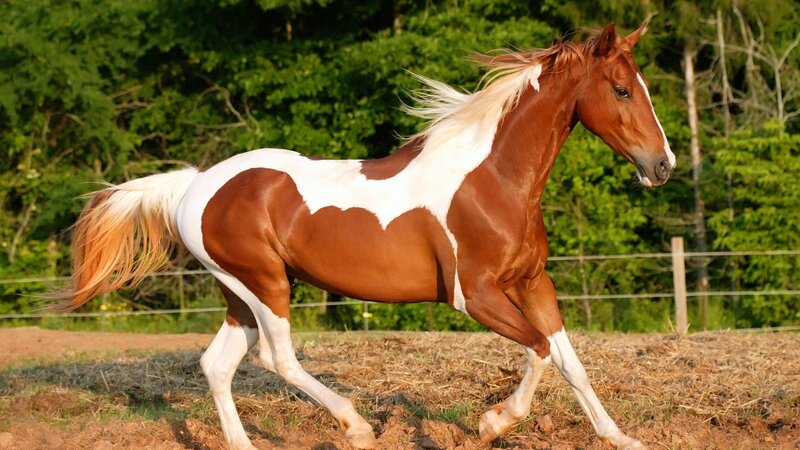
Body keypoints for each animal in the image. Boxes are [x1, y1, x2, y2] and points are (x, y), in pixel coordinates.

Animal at [53, 20, 673, 449]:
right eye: (622, 90)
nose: (662, 165)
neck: (492, 179)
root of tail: (196, 183)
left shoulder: (532, 282)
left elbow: (569, 361)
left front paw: (621, 438)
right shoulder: (474, 294)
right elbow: (540, 350)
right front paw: (492, 423)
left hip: (239, 294)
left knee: (217, 364)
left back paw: (246, 442)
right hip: (265, 284)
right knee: (278, 359)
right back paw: (355, 426)